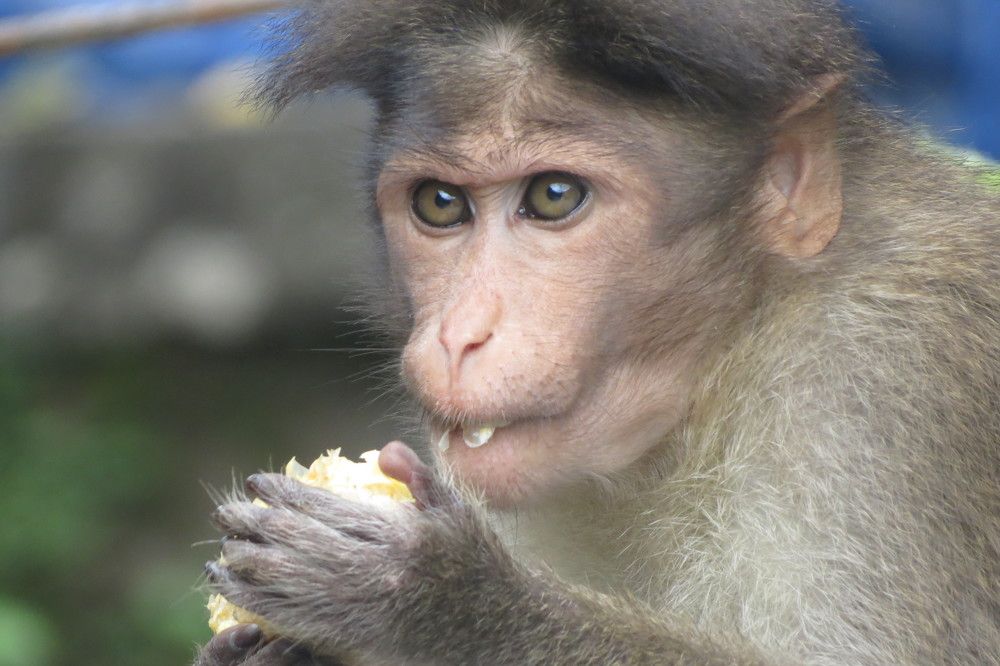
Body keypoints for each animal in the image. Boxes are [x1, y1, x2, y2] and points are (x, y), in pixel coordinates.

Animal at [196, 0, 1000, 664]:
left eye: (555, 196)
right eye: (440, 204)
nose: (458, 335)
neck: (730, 353)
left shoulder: (880, 386)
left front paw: (440, 596)